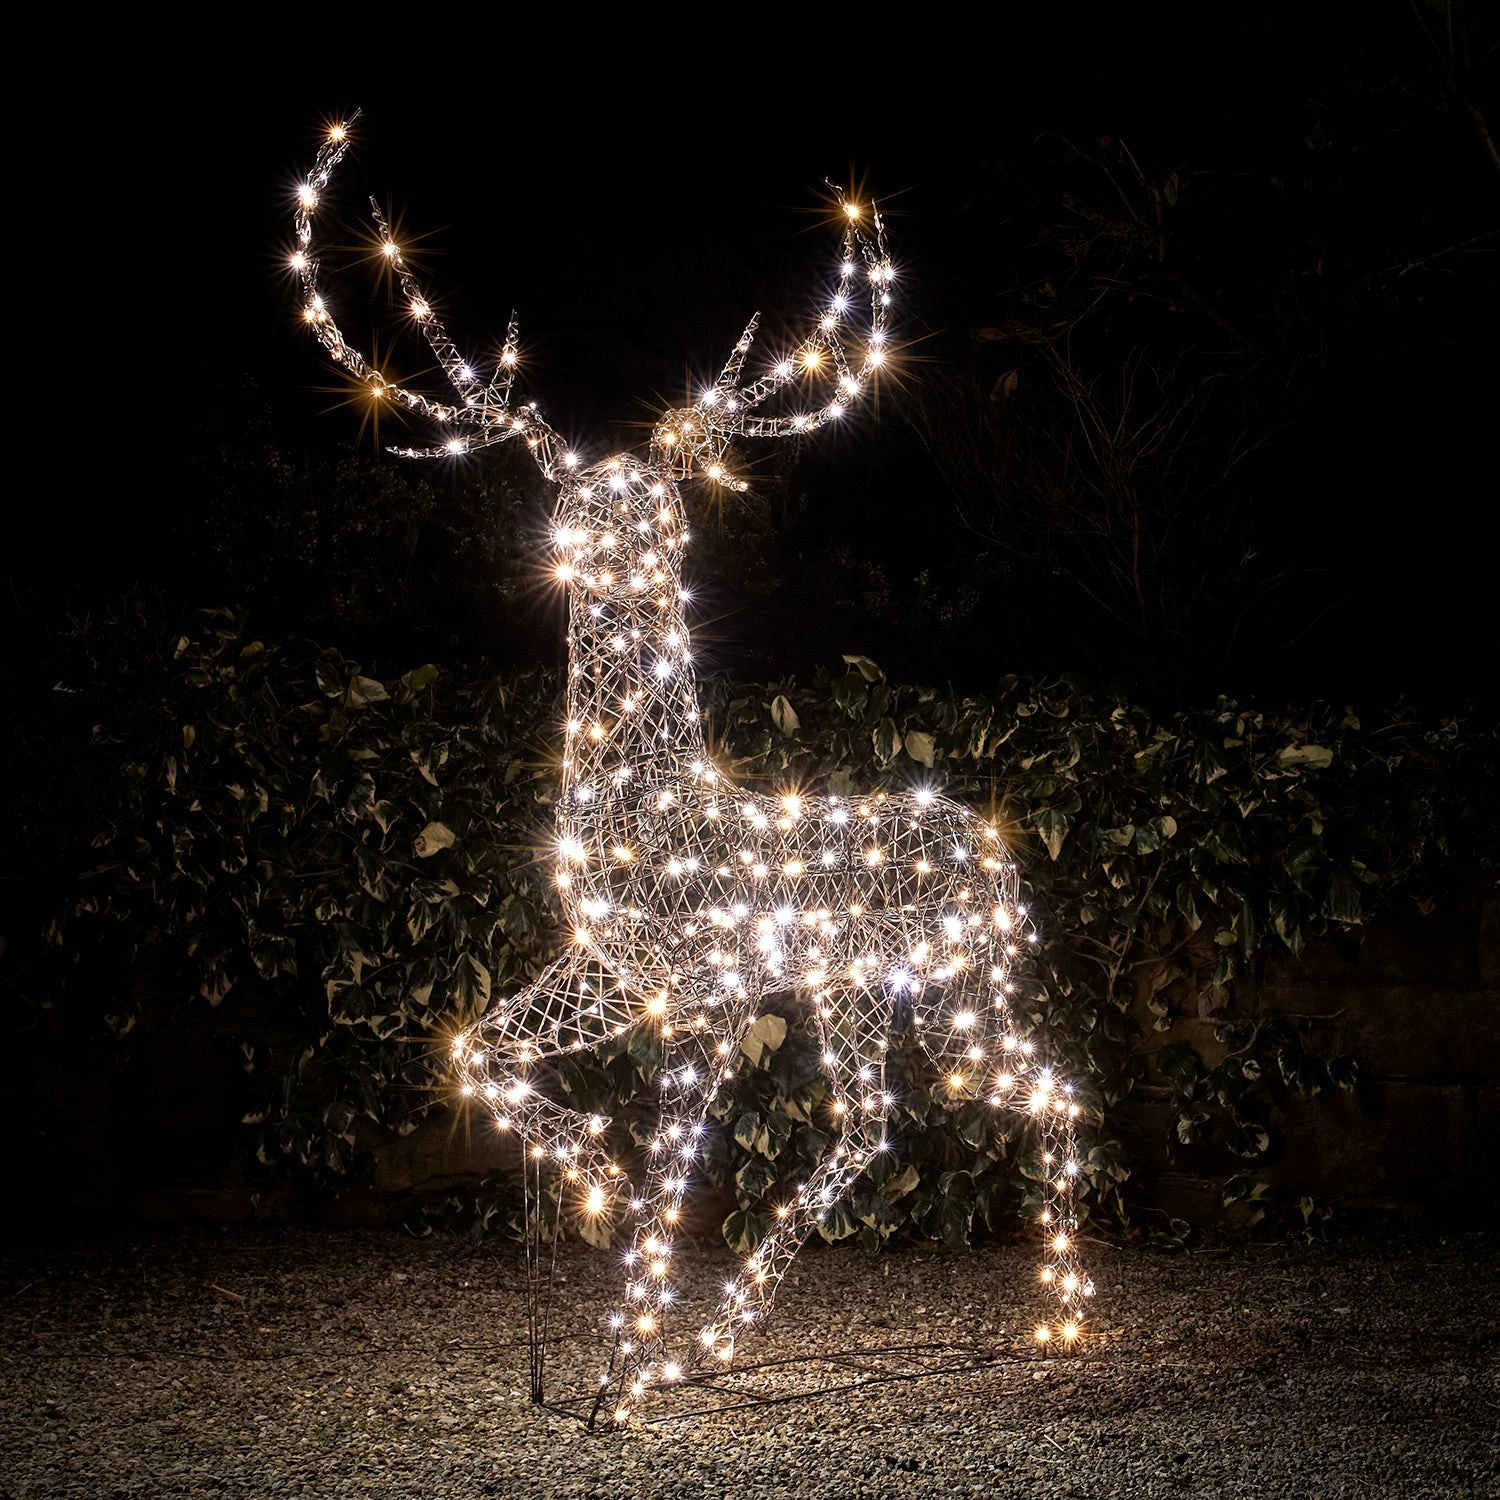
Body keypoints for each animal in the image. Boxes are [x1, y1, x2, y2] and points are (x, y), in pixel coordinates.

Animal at [291, 115, 1093, 1428]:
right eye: (578, 504)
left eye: (655, 510)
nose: (602, 553)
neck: (637, 800)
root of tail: (993, 850)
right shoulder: (609, 973)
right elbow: (474, 1052)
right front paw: (594, 1198)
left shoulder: (702, 995)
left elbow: (678, 1177)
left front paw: (619, 1375)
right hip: (864, 987)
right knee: (879, 1122)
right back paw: (736, 1336)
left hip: (956, 979)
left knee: (1026, 1096)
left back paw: (1058, 1321)